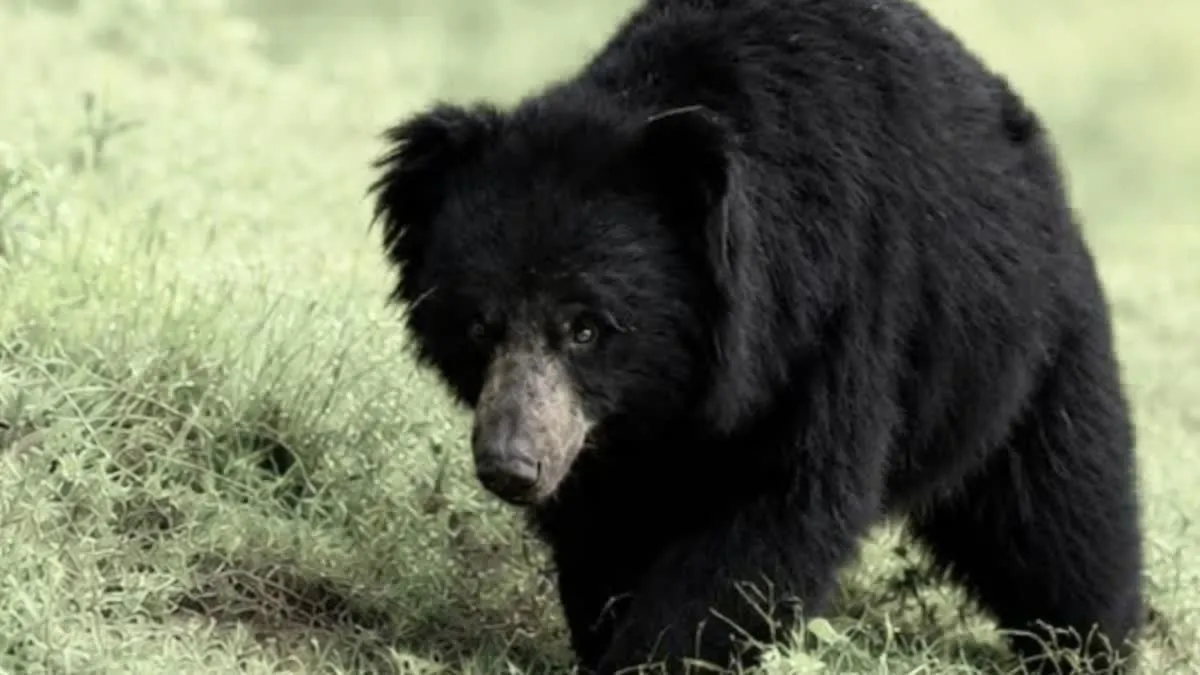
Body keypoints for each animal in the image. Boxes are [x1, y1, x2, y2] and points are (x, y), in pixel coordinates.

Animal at [366, 0, 1145, 672]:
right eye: (479, 325)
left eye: (586, 328)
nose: (511, 464)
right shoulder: (604, 435)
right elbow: (606, 524)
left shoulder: (835, 321)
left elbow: (776, 515)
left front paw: (656, 656)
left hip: (1023, 350)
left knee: (1063, 513)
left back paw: (1090, 646)